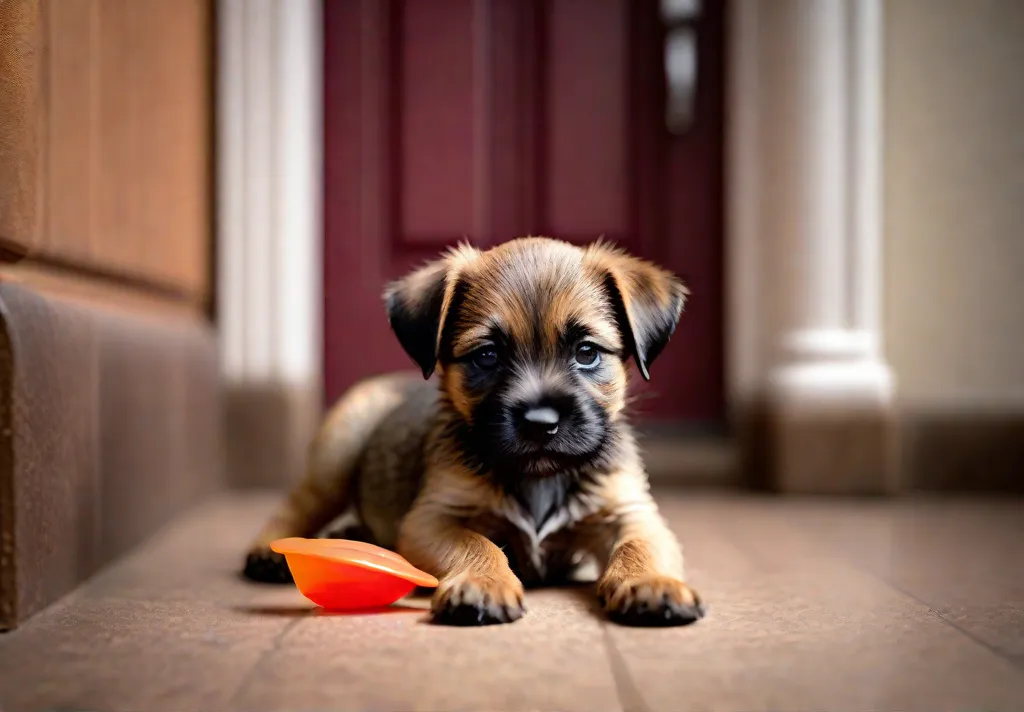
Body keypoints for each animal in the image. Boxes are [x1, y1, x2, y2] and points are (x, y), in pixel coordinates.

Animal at [241, 236, 704, 626]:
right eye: (487, 355)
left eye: (587, 352)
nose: (541, 423)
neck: (537, 478)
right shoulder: (433, 518)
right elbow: (478, 543)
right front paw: (481, 583)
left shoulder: (632, 514)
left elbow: (637, 547)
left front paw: (651, 583)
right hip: (337, 453)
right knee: (300, 503)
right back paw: (269, 551)